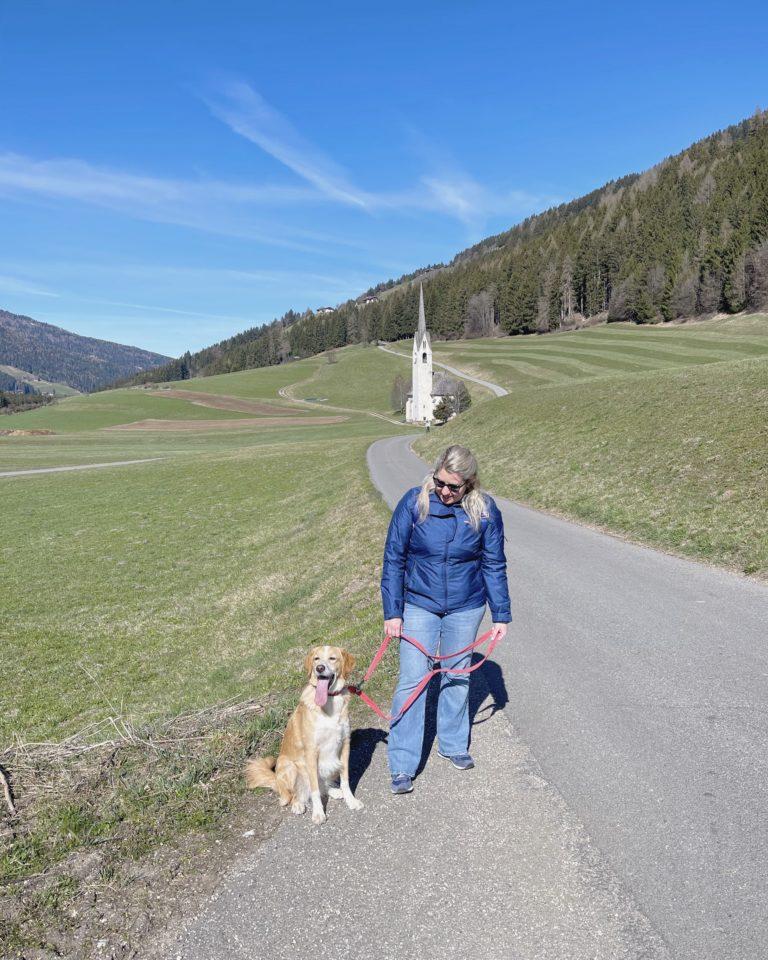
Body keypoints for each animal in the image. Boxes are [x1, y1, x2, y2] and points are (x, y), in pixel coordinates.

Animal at [246, 644, 366, 824]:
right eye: (316, 659)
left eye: (332, 658)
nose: (319, 668)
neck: (329, 703)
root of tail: (277, 782)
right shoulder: (311, 752)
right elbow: (314, 790)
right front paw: (318, 813)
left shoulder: (345, 745)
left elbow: (345, 780)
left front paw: (350, 800)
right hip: (289, 766)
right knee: (296, 794)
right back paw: (298, 804)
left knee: (322, 786)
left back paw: (334, 791)